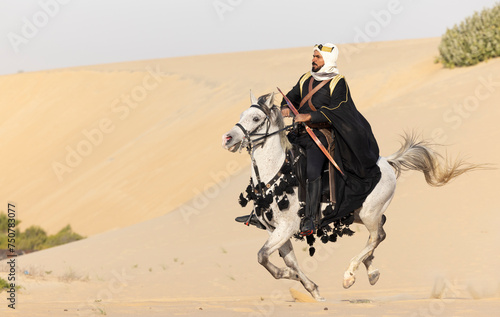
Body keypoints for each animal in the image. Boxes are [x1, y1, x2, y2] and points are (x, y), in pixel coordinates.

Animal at [222, 92, 476, 302]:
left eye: (256, 118)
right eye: (241, 115)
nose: (228, 138)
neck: (276, 173)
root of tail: (386, 161)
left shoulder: (287, 226)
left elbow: (263, 256)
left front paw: (287, 274)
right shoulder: (273, 229)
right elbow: (286, 259)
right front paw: (310, 287)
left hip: (369, 213)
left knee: (376, 236)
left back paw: (350, 274)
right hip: (357, 214)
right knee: (381, 233)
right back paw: (371, 271)